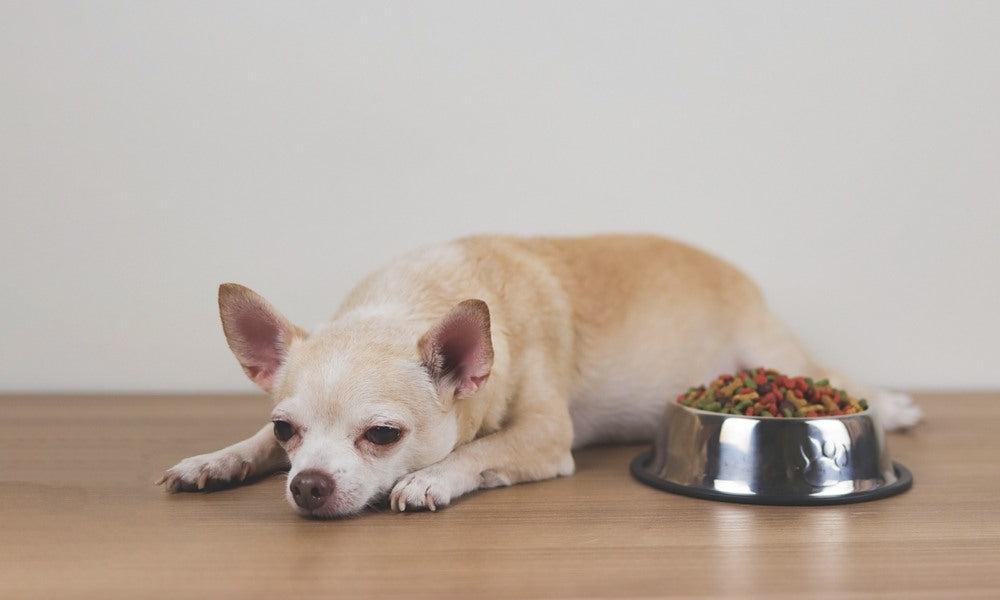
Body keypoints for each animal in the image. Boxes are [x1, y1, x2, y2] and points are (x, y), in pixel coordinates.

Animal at [158, 234, 920, 516]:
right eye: (287, 430)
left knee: (835, 376)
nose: (307, 485)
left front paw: (430, 478)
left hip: (776, 355)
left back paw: (893, 404)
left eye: (383, 436)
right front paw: (215, 461)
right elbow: (246, 443)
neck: (409, 301)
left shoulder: (547, 437)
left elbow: (481, 449)